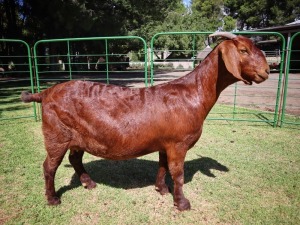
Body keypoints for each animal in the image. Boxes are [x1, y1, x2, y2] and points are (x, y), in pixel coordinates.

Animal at [20, 32, 270, 212]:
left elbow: (162, 166)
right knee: (49, 166)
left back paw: (88, 183)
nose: (267, 71)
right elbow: (178, 173)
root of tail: (45, 93)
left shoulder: (165, 143)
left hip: (77, 137)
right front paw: (182, 203)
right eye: (243, 50)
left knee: (75, 158)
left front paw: (162, 189)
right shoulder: (178, 144)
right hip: (56, 135)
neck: (193, 93)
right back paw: (53, 199)